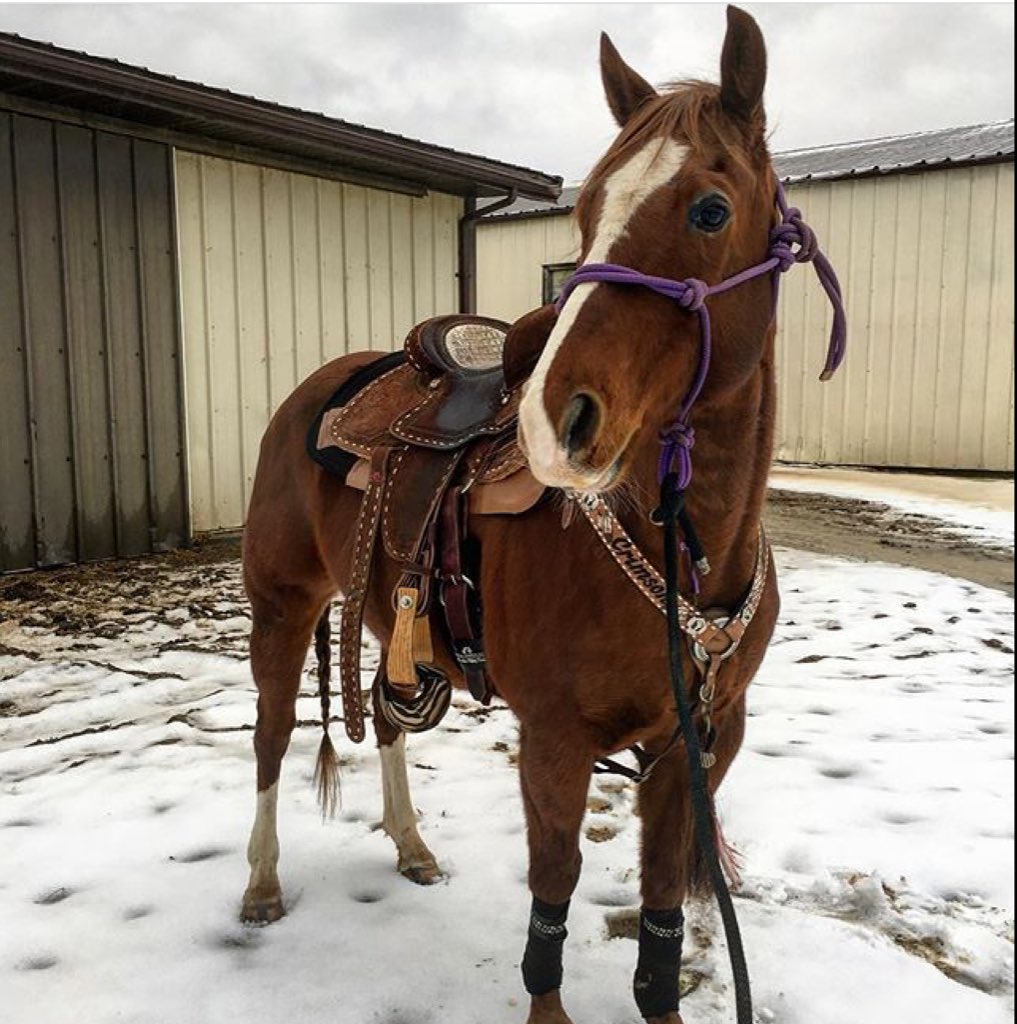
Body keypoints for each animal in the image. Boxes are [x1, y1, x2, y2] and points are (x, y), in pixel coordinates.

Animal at [239, 7, 844, 1023]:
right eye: (588, 208)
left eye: (709, 209)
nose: (552, 419)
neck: (677, 553)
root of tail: (323, 385)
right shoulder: (555, 742)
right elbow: (552, 891)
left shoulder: (694, 748)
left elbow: (660, 911)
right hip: (281, 608)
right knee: (271, 739)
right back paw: (260, 883)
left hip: (386, 617)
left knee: (388, 725)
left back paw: (411, 846)